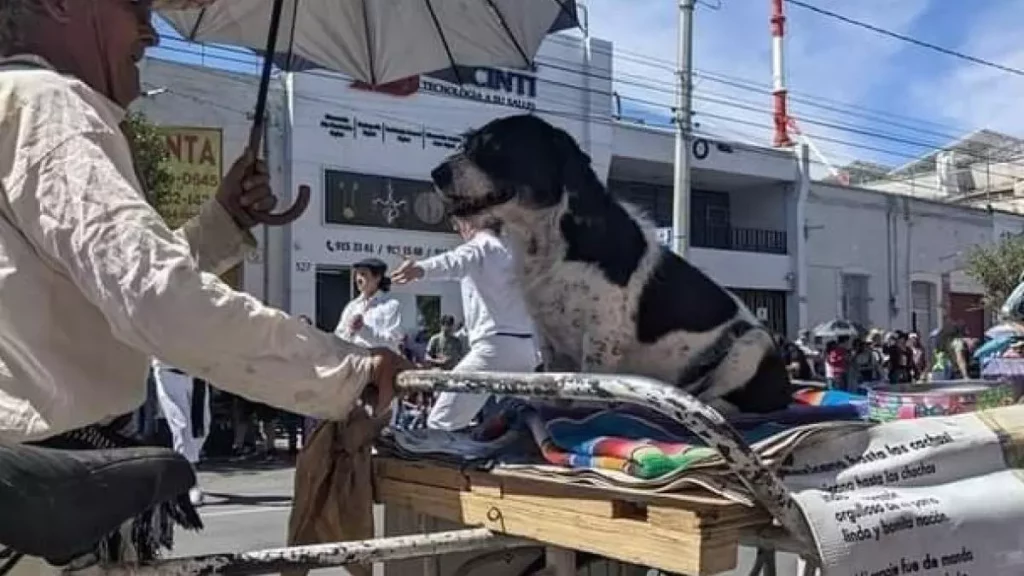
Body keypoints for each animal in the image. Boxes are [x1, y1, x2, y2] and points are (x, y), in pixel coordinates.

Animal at [430, 114, 790, 412]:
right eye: (466, 144)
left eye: (495, 146)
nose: (436, 172)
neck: (550, 236)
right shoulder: (547, 335)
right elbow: (556, 380)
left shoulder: (601, 333)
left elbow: (591, 381)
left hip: (752, 344)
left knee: (730, 399)